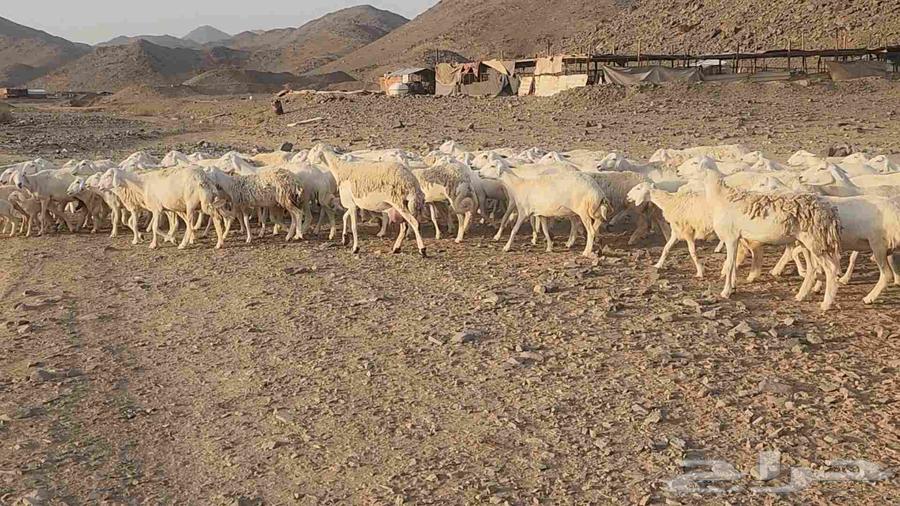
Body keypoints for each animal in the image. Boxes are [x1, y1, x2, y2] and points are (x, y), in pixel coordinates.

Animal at [704, 160, 842, 310]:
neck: (720, 197)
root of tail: (829, 212)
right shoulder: (737, 238)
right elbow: (733, 263)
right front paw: (733, 288)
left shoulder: (731, 237)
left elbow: (729, 264)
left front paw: (726, 292)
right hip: (808, 242)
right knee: (813, 268)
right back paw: (801, 295)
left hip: (815, 240)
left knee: (831, 269)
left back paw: (826, 303)